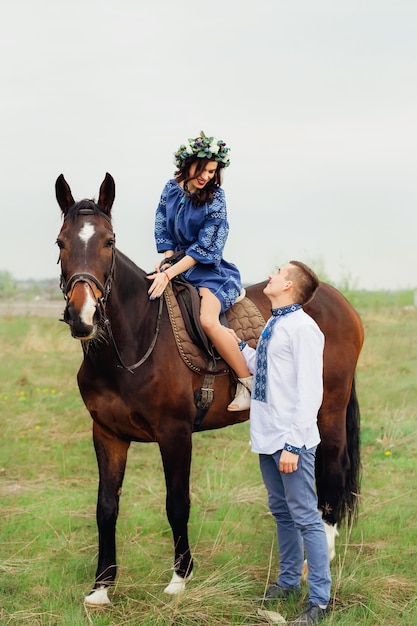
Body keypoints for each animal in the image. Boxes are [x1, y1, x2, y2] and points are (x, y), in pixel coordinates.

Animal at [56, 172, 364, 604]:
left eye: (109, 241)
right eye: (61, 242)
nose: (82, 316)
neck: (131, 344)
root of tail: (338, 301)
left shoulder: (175, 434)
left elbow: (176, 504)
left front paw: (179, 578)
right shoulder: (107, 434)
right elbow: (106, 506)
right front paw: (102, 586)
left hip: (329, 410)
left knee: (333, 467)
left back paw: (321, 554)